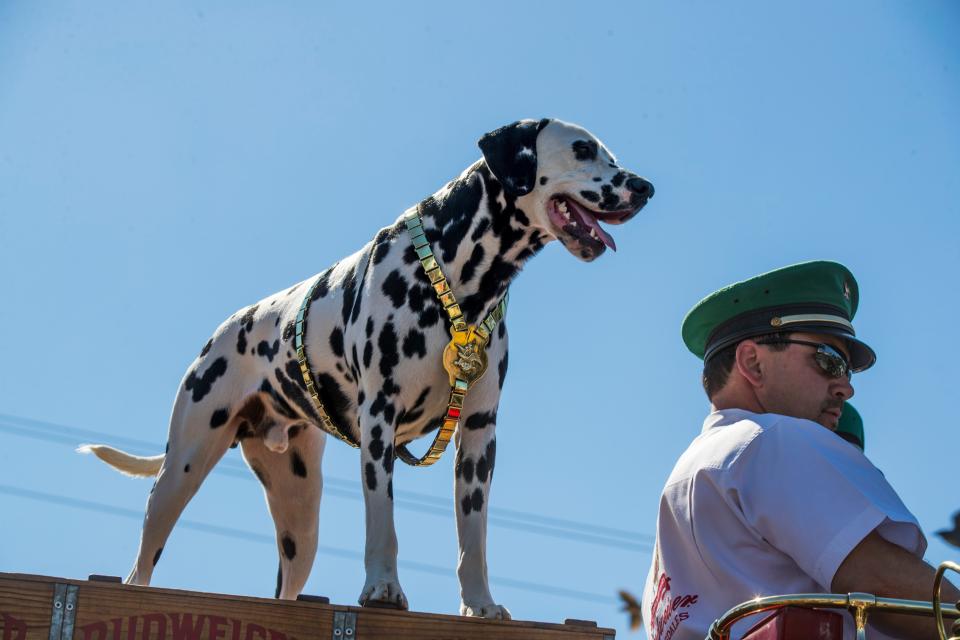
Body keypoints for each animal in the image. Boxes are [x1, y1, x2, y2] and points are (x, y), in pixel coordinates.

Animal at [80, 117, 652, 616]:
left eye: (610, 155)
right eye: (582, 150)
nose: (645, 188)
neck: (460, 276)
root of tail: (225, 330)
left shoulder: (478, 435)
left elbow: (473, 537)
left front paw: (479, 603)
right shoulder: (380, 420)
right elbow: (383, 522)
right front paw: (383, 588)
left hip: (299, 522)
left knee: (286, 590)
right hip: (181, 471)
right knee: (140, 567)